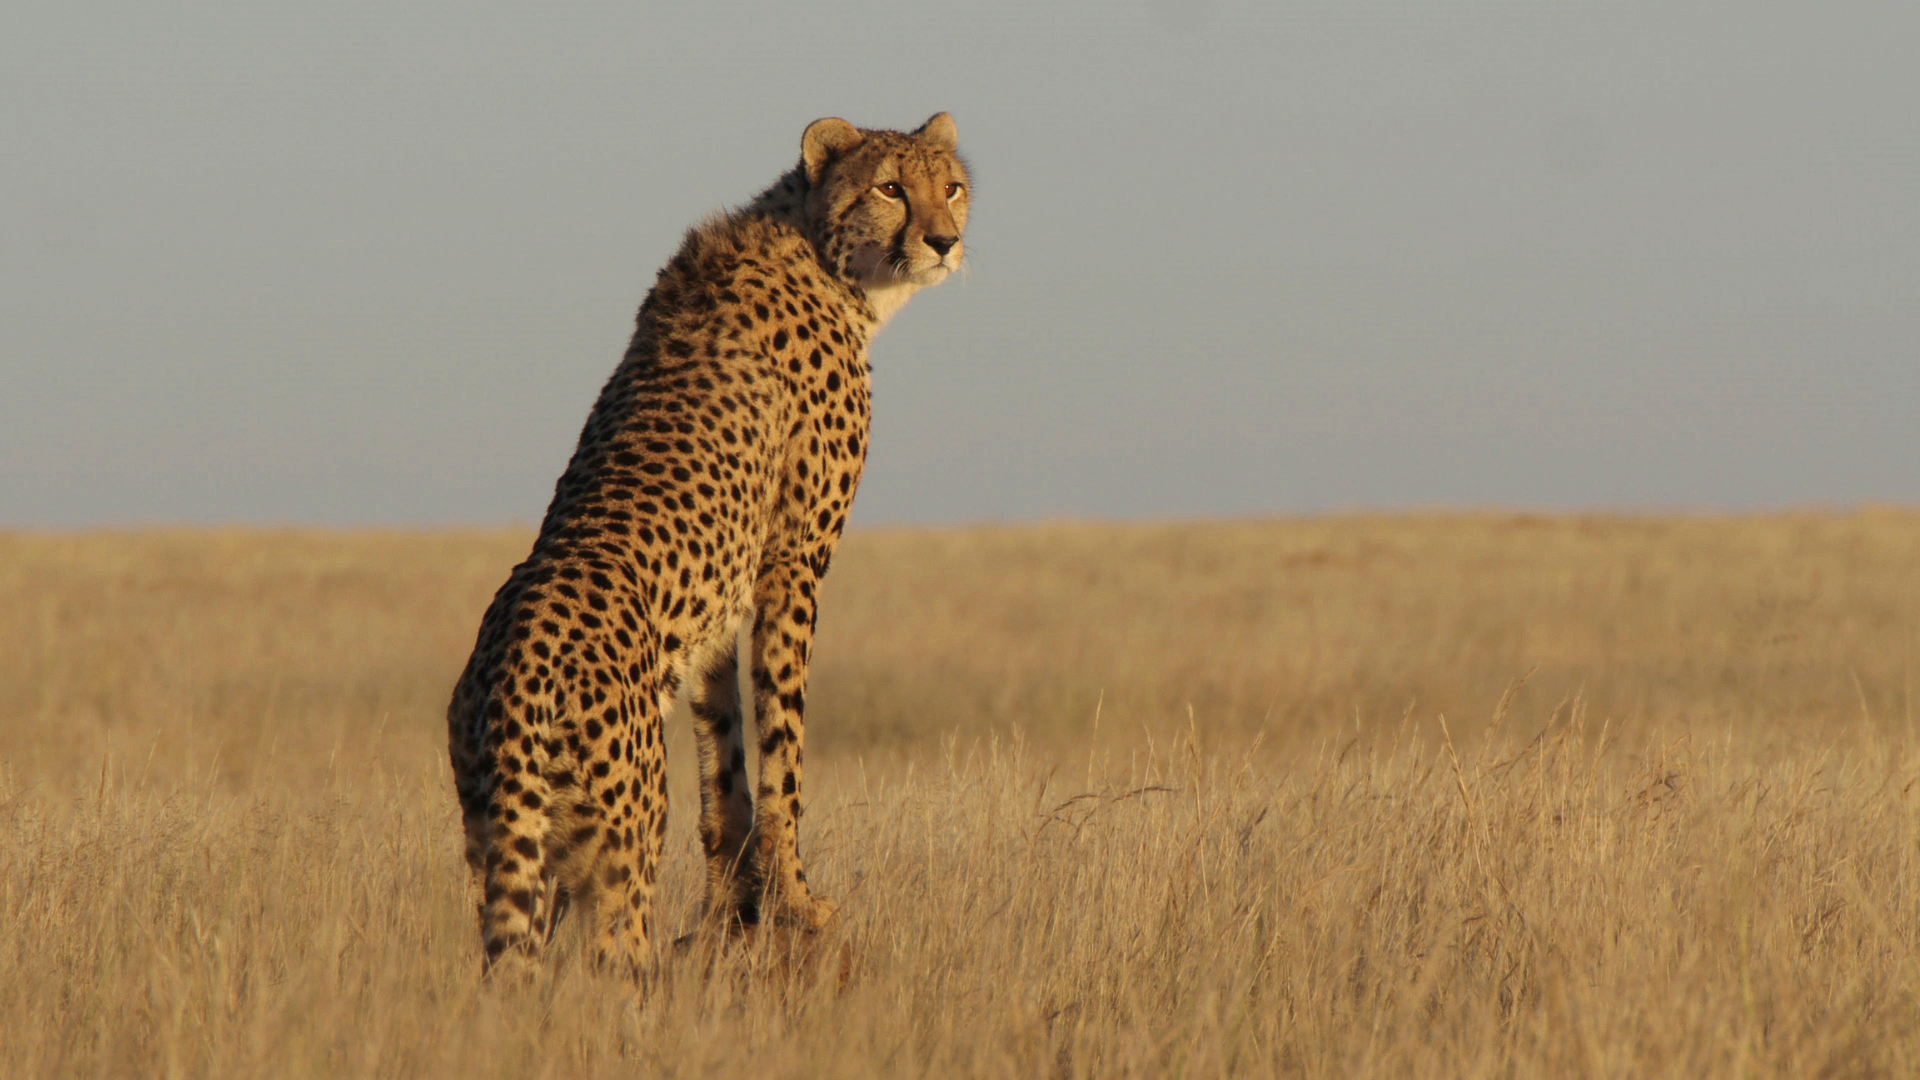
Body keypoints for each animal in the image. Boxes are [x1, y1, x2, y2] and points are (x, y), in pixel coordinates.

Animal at [443, 113, 967, 972]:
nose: (945, 240)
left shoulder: (721, 609)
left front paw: (736, 907)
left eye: (950, 185)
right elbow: (784, 750)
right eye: (891, 187)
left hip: (508, 843)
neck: (821, 254)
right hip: (622, 834)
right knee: (615, 962)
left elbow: (725, 760)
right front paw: (798, 902)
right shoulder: (794, 565)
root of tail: (520, 660)